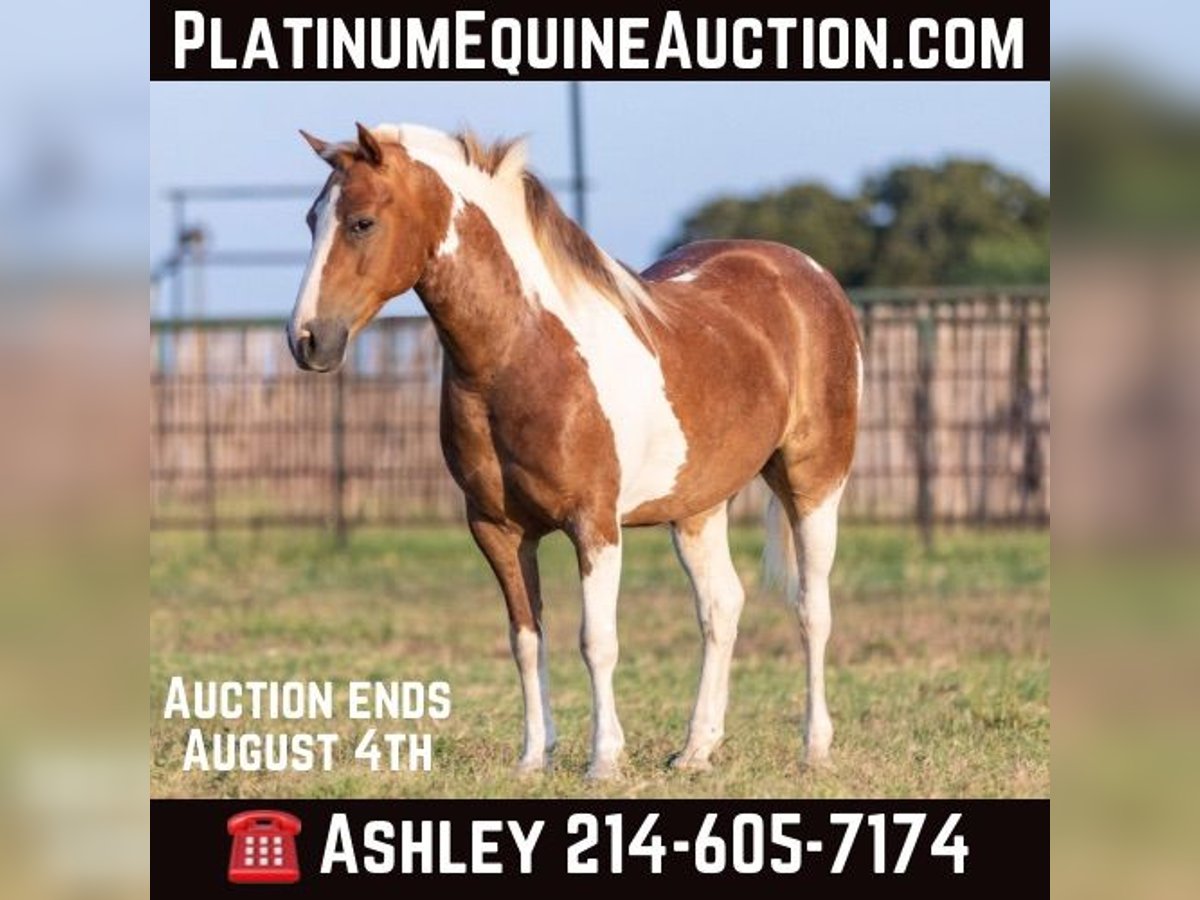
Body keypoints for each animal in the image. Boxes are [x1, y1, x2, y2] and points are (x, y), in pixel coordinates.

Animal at [290, 123, 864, 777]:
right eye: (312, 219)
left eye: (362, 222)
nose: (307, 340)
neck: (523, 353)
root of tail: (806, 273)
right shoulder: (498, 529)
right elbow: (525, 639)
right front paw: (532, 759)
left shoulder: (594, 525)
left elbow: (597, 641)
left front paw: (603, 761)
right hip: (696, 507)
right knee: (722, 607)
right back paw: (696, 750)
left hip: (814, 485)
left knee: (811, 608)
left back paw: (815, 748)